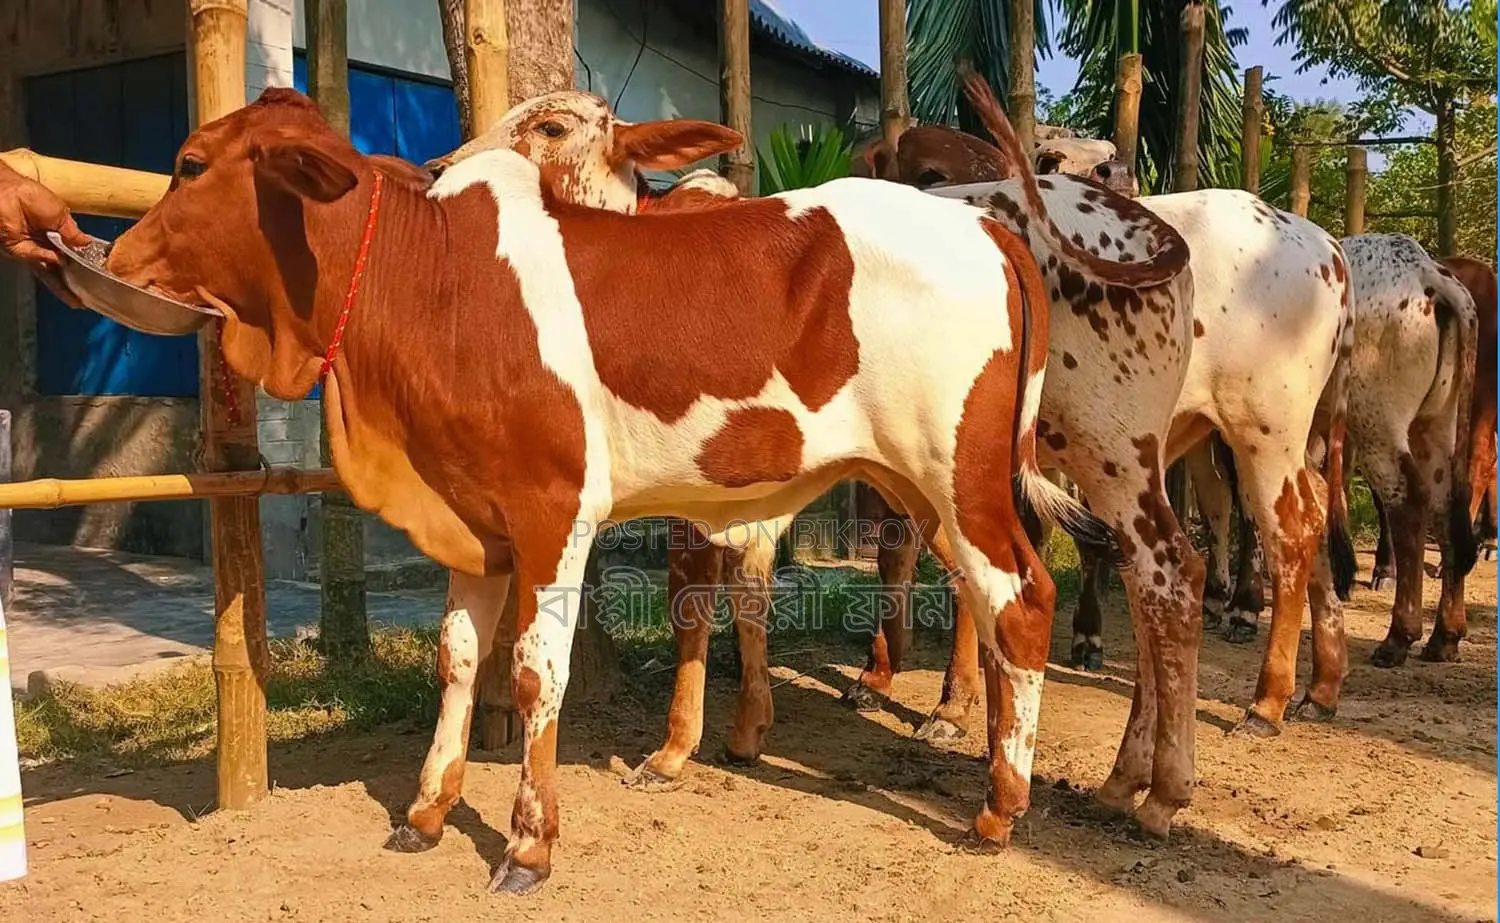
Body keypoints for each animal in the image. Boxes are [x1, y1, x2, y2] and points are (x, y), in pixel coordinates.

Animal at [87, 87, 1109, 894]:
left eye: (188, 164)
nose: (114, 254)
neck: (432, 284)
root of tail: (988, 225)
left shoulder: (556, 510)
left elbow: (538, 668)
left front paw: (529, 845)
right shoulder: (473, 515)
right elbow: (459, 656)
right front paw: (425, 810)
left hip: (957, 474)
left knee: (1023, 600)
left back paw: (999, 806)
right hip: (925, 484)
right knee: (993, 599)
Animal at [435, 78, 1210, 839]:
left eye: (551, 126)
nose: (443, 170)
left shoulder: (692, 486)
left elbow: (692, 603)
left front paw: (675, 747)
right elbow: (750, 591)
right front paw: (748, 726)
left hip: (1068, 455)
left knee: (1119, 581)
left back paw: (1083, 792)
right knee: (1088, 580)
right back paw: (1093, 769)